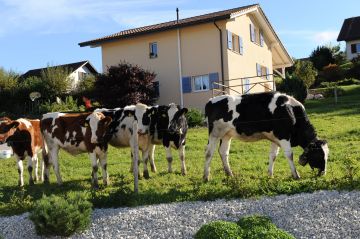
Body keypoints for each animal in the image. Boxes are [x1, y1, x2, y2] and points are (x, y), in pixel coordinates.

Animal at [202, 92, 330, 181]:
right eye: (319, 155)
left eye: (327, 154)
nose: (323, 173)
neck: (291, 111)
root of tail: (210, 101)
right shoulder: (283, 135)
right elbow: (289, 155)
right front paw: (296, 175)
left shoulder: (275, 138)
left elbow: (273, 155)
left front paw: (270, 175)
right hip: (214, 133)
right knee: (209, 152)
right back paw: (206, 177)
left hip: (227, 135)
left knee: (223, 152)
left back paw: (230, 174)